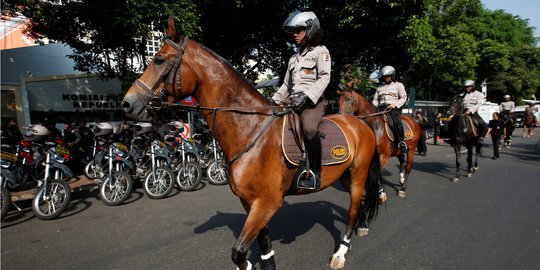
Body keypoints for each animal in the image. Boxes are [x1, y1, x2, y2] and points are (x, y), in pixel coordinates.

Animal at [122, 17, 384, 270]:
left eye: (158, 60)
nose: (127, 104)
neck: (251, 130)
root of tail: (360, 123)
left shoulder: (267, 203)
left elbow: (238, 252)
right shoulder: (250, 202)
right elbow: (263, 240)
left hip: (358, 175)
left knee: (353, 209)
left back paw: (341, 252)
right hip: (345, 176)